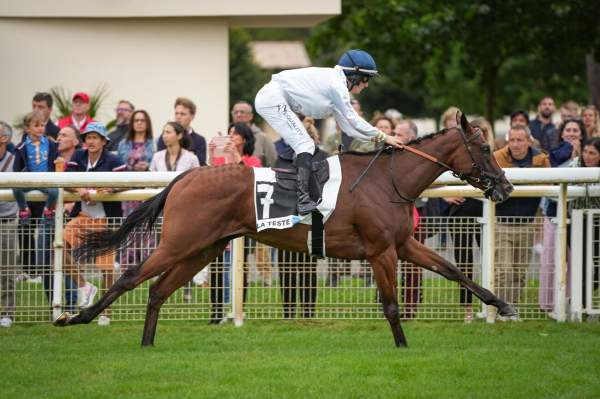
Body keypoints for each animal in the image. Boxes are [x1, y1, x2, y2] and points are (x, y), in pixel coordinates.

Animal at [55, 112, 516, 346]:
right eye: (484, 147)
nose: (507, 186)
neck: (389, 181)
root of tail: (185, 177)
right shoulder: (380, 250)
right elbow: (390, 304)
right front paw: (402, 345)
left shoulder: (402, 244)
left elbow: (453, 270)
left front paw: (503, 304)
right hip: (181, 242)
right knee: (132, 278)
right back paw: (77, 318)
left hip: (205, 248)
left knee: (157, 289)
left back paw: (147, 343)